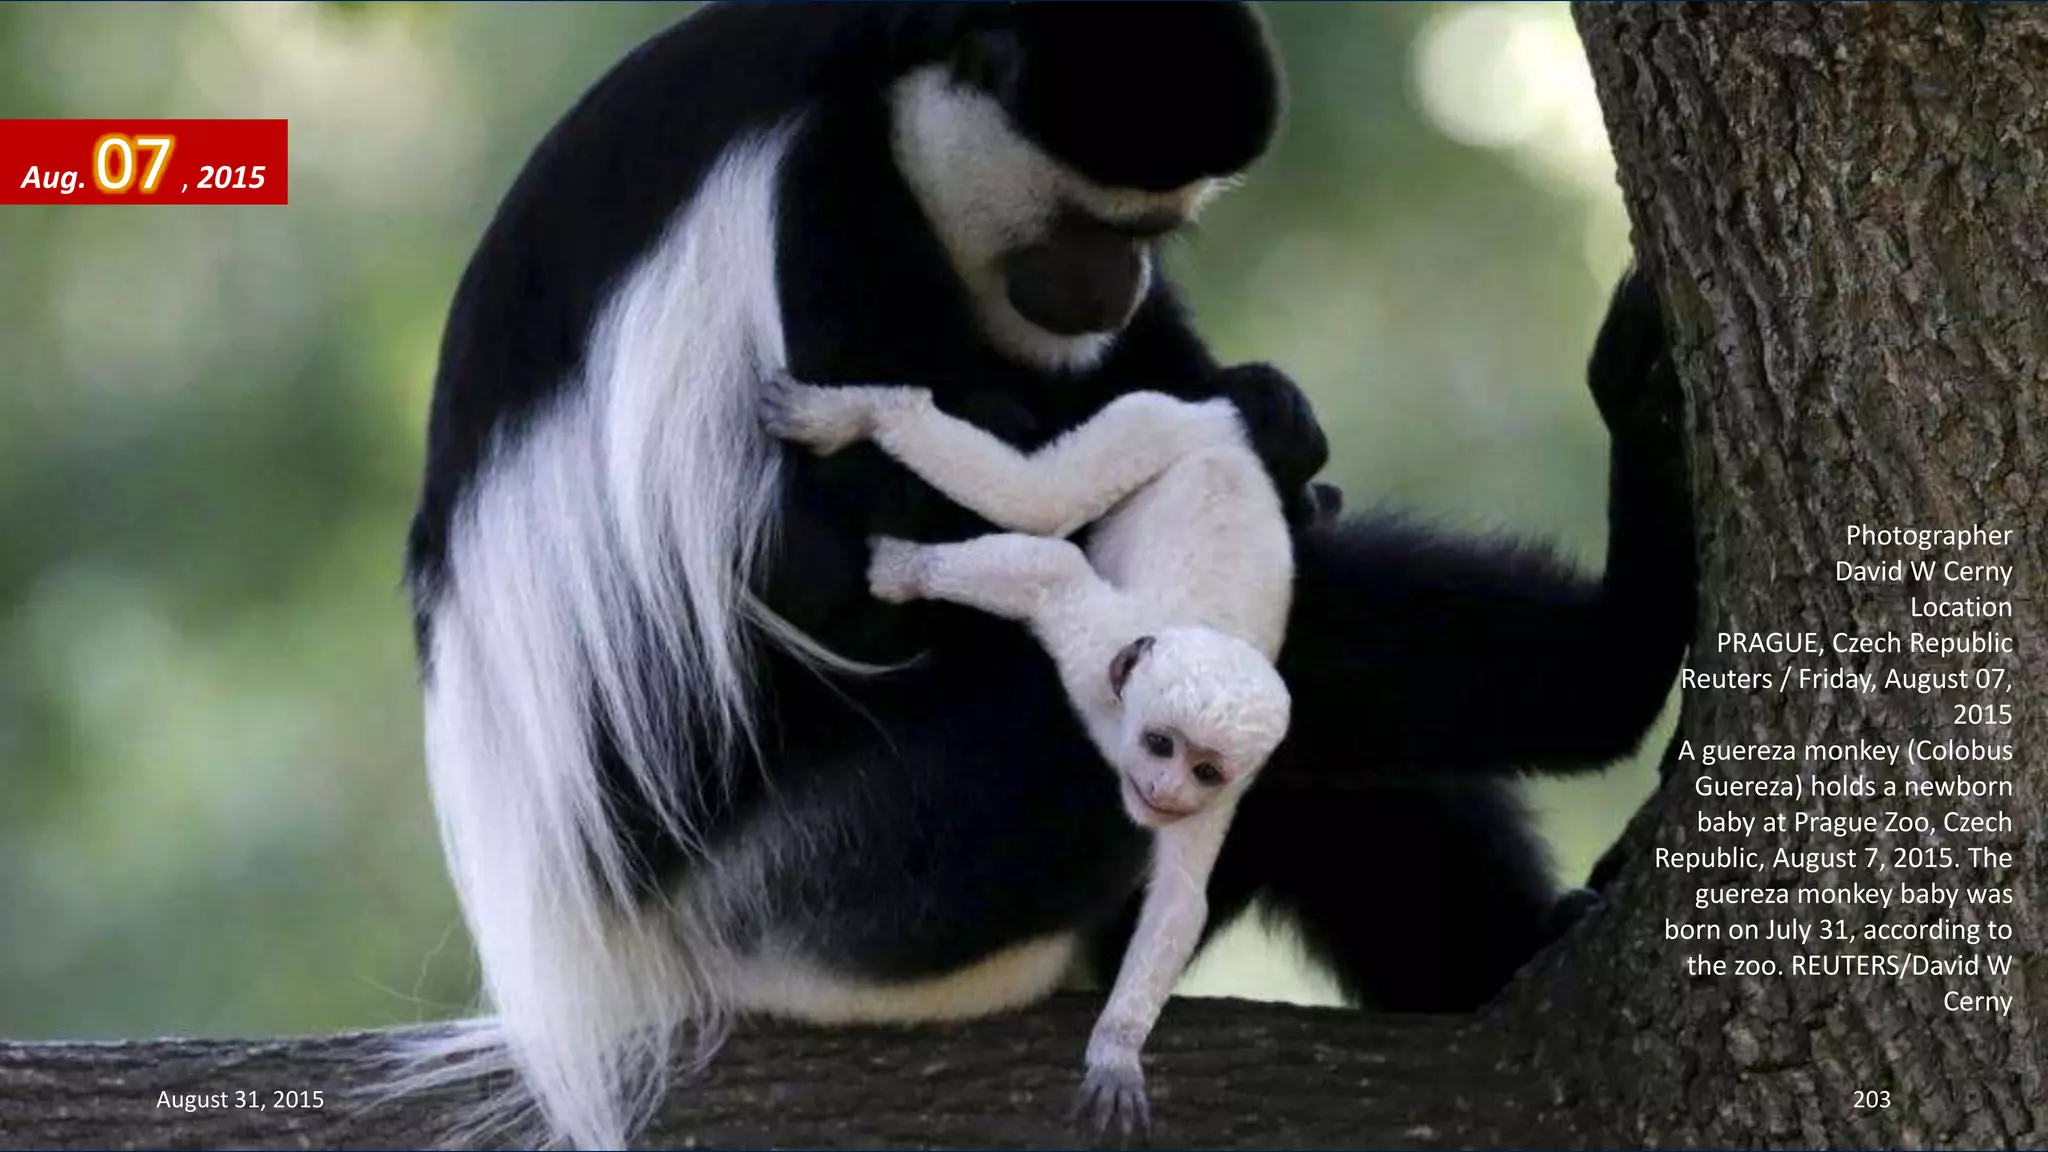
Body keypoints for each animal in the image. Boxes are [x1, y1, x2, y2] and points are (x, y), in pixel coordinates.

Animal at [761, 375, 1294, 1131]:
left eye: (1204, 770)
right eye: (1159, 743)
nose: (1163, 789)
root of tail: (1230, 438)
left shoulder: (1222, 798)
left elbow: (1179, 902)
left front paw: (1116, 1049)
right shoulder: (1099, 658)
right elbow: (1050, 568)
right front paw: (904, 569)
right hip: (1156, 422)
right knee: (1043, 500)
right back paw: (866, 416)